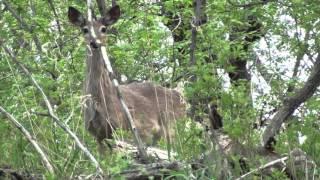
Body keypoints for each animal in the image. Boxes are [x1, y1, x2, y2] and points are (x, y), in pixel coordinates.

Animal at [69, 4, 186, 153]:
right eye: (85, 29)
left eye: (103, 28)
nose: (95, 43)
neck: (100, 99)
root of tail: (182, 97)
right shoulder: (98, 136)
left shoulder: (127, 129)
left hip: (172, 125)